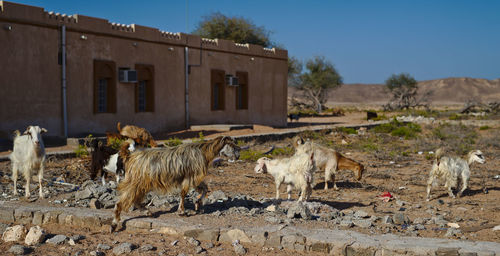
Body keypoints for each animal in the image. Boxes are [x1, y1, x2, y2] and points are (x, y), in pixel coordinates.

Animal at [111, 137, 240, 231]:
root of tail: (130, 157)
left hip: (141, 184)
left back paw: (148, 212)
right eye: (231, 145)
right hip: (136, 182)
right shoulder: (189, 177)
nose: (238, 154)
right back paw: (114, 223)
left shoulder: (194, 179)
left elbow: (204, 188)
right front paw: (182, 211)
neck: (203, 151)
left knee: (135, 200)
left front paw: (197, 203)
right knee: (122, 202)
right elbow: (183, 193)